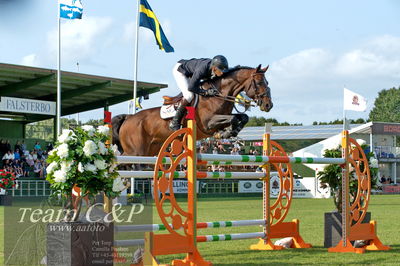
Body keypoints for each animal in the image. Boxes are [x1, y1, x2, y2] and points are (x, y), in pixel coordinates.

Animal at [114, 63, 274, 157]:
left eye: (267, 82)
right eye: (259, 82)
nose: (268, 105)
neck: (218, 94)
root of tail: (129, 118)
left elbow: (243, 118)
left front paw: (228, 132)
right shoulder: (208, 123)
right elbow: (234, 118)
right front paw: (225, 133)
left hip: (150, 150)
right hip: (134, 152)